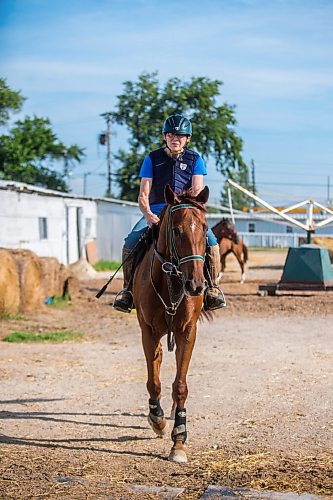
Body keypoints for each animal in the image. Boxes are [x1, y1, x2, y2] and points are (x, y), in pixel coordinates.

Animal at [132, 186, 208, 462]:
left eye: (205, 229)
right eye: (176, 230)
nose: (196, 285)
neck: (172, 282)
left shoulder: (187, 332)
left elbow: (181, 385)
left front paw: (179, 441)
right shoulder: (148, 331)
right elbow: (153, 381)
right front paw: (157, 420)